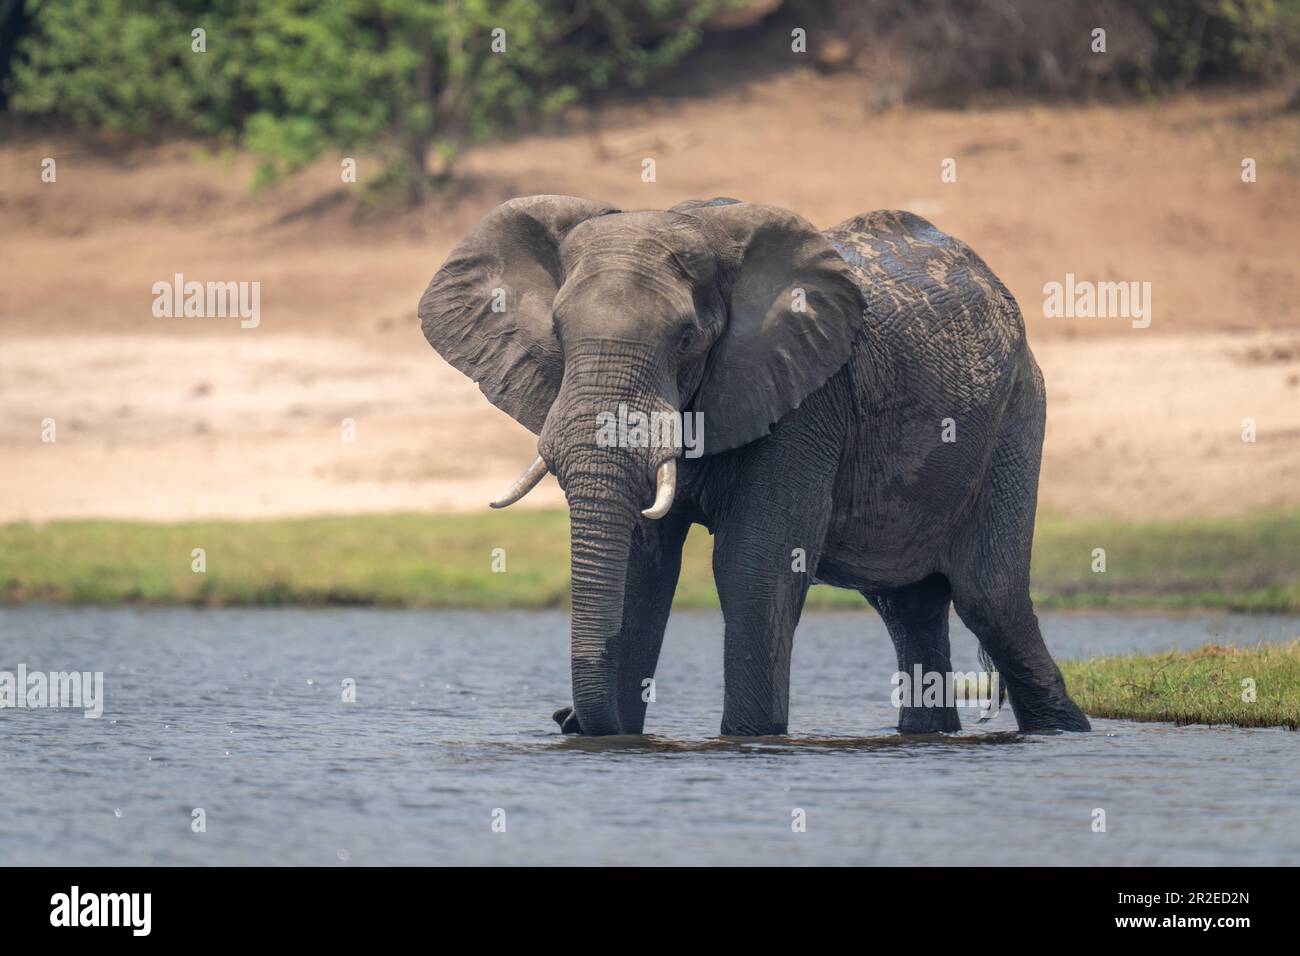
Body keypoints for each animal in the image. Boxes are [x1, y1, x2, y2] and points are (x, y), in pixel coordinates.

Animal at [418, 195, 1091, 737]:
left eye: (687, 339)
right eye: (557, 334)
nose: (565, 718)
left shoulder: (806, 395)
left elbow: (753, 563)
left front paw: (749, 737)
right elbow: (643, 564)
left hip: (1017, 414)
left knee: (989, 597)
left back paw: (1065, 732)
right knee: (908, 606)